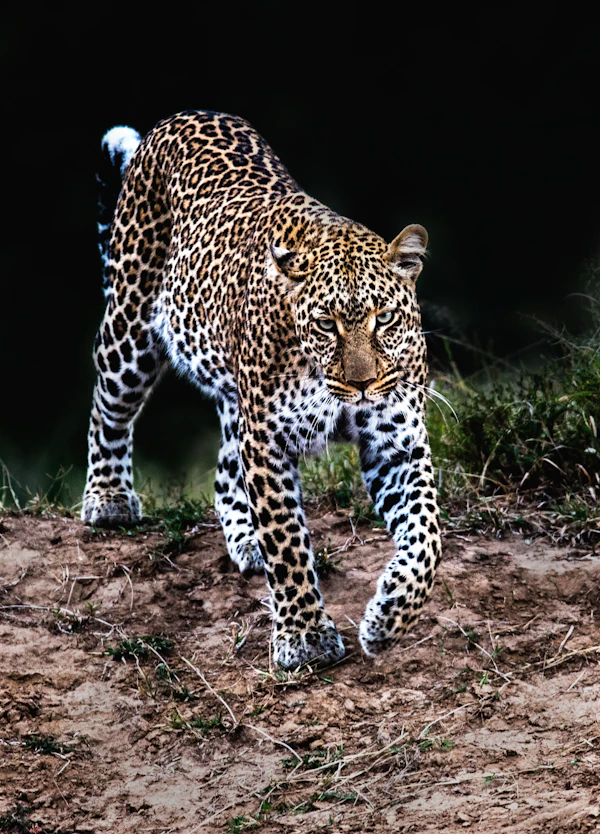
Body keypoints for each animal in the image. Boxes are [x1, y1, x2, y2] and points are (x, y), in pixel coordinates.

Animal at [82, 109, 442, 670]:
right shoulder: (269, 442)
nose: (362, 385)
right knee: (109, 410)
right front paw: (305, 636)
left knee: (225, 470)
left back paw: (244, 538)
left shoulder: (397, 443)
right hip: (130, 330)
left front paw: (388, 619)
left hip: (235, 399)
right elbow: (288, 542)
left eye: (384, 318)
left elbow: (427, 536)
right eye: (326, 324)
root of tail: (181, 117)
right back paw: (109, 499)